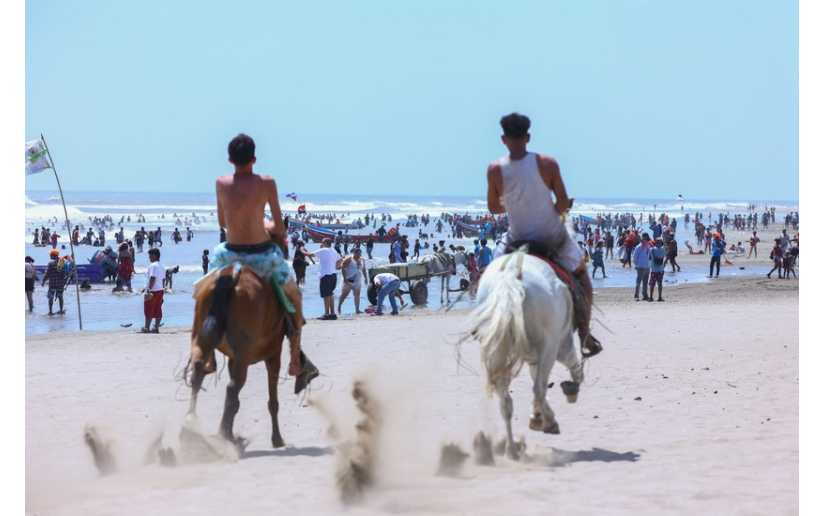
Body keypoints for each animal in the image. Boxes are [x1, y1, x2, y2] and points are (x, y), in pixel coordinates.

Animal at [187, 260, 308, 450]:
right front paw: (277, 439)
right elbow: (273, 401)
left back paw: (193, 426)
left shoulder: (233, 359)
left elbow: (236, 402)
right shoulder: (274, 354)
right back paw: (222, 436)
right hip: (244, 356)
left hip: (202, 339)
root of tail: (231, 274)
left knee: (198, 374)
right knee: (231, 387)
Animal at [466, 248, 584, 458]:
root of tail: (510, 278)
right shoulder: (559, 344)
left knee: (506, 402)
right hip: (550, 346)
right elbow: (570, 366)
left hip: (499, 350)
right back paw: (546, 421)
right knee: (539, 388)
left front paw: (540, 416)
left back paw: (512, 449)